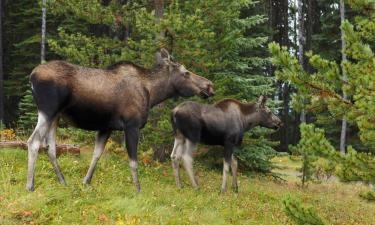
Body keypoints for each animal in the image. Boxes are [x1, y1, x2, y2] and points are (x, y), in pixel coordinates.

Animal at [25, 48, 214, 192]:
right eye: (186, 72)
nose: (209, 86)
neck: (153, 94)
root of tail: (32, 76)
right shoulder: (132, 125)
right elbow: (133, 161)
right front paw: (138, 190)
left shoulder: (106, 127)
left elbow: (97, 154)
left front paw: (86, 182)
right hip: (48, 110)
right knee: (33, 141)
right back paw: (30, 185)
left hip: (55, 116)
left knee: (50, 147)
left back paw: (63, 181)